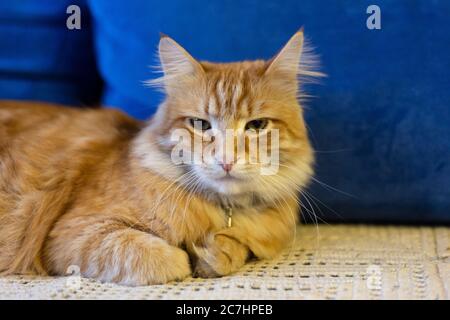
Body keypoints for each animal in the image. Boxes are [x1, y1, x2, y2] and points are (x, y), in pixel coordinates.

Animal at [0, 30, 320, 284]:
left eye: (256, 126)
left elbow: (235, 250)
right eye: (200, 124)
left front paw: (214, 252)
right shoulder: (74, 233)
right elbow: (165, 257)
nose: (226, 160)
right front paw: (191, 254)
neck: (222, 211)